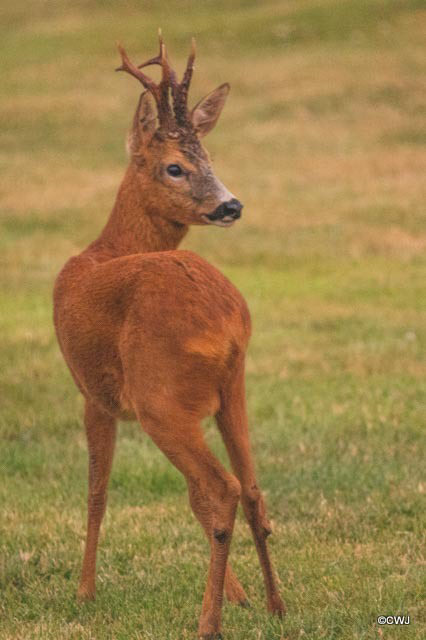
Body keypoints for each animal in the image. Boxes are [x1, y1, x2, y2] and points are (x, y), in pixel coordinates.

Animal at [54, 35, 286, 640]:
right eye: (176, 167)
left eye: (211, 161)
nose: (231, 205)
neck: (106, 248)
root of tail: (226, 321)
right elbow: (185, 500)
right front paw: (242, 596)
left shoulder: (94, 393)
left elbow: (97, 491)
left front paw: (83, 593)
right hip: (233, 388)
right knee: (250, 489)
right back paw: (277, 606)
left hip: (160, 396)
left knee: (221, 489)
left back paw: (208, 622)